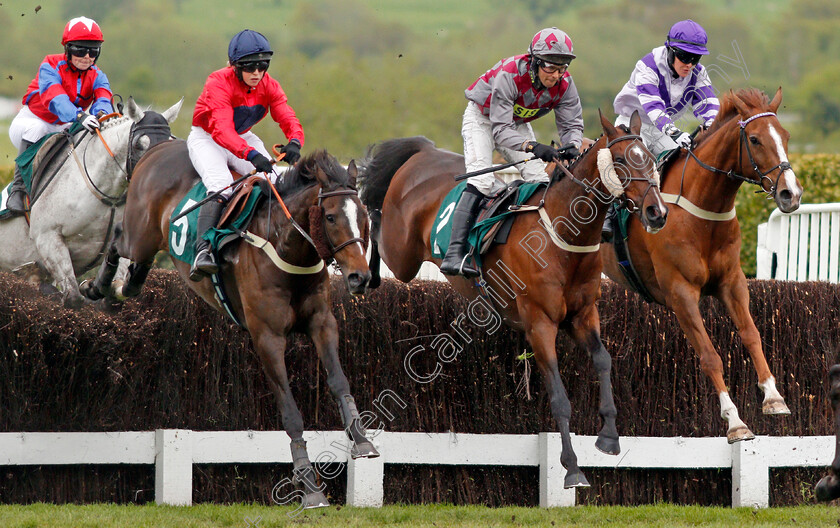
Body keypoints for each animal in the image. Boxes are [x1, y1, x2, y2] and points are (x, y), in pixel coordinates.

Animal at [0, 97, 182, 308]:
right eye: (139, 145)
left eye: (170, 144)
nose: (162, 186)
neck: (108, 195)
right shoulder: (48, 238)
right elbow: (73, 297)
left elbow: (117, 291)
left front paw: (93, 288)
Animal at [82, 139, 378, 508]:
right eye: (331, 216)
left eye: (364, 217)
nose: (360, 277)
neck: (285, 249)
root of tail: (160, 146)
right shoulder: (267, 338)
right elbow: (291, 412)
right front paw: (309, 486)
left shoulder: (322, 323)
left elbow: (339, 381)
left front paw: (362, 440)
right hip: (140, 235)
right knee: (119, 240)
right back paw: (96, 287)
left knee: (136, 272)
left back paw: (121, 289)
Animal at [358, 112, 668, 490]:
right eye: (622, 160)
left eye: (650, 159)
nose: (657, 212)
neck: (562, 237)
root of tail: (424, 151)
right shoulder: (539, 324)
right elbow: (559, 399)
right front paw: (572, 468)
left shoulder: (583, 315)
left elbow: (604, 361)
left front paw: (609, 437)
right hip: (401, 255)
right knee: (376, 225)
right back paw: (364, 272)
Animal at [600, 88, 804, 444]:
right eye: (754, 139)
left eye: (786, 136)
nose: (790, 194)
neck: (701, 212)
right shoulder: (680, 294)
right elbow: (710, 356)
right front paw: (735, 422)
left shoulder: (732, 282)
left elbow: (751, 334)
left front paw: (774, 398)